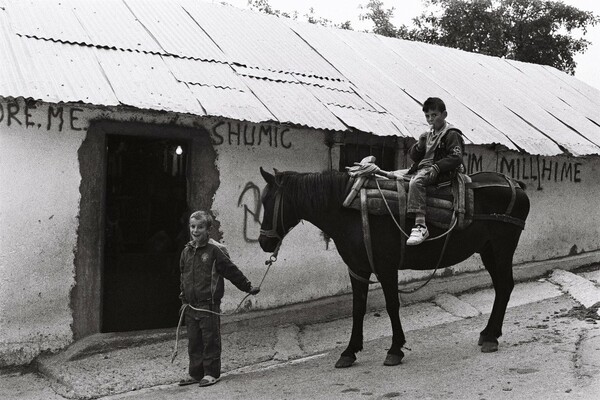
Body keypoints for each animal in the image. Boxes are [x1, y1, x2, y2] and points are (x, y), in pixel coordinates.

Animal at [258, 167, 528, 368]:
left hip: (502, 248)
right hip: (488, 250)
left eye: (268, 201)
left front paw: (395, 349)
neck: (348, 208)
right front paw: (349, 351)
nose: (263, 242)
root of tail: (516, 184)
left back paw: (491, 338)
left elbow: (391, 306)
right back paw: (488, 333)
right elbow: (358, 308)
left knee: (505, 286)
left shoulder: (385, 267)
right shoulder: (357, 268)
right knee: (501, 288)